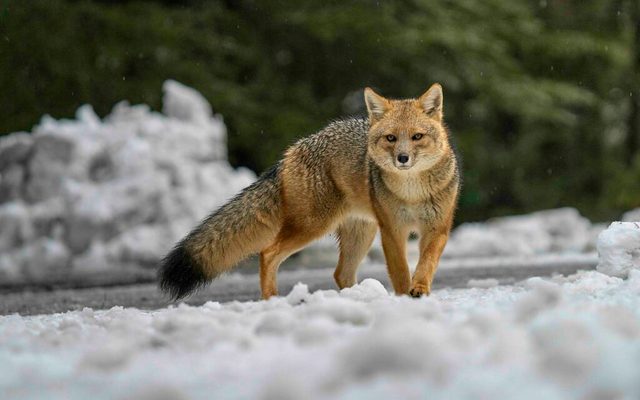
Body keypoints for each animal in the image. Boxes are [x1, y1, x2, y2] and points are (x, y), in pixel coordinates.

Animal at [159, 83, 460, 300]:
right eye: (391, 138)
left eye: (417, 137)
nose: (402, 158)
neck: (412, 192)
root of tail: (292, 151)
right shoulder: (392, 230)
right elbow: (400, 272)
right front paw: (403, 297)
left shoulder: (437, 228)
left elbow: (426, 264)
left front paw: (419, 289)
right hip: (313, 226)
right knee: (268, 253)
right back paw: (273, 299)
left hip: (359, 234)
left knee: (340, 274)